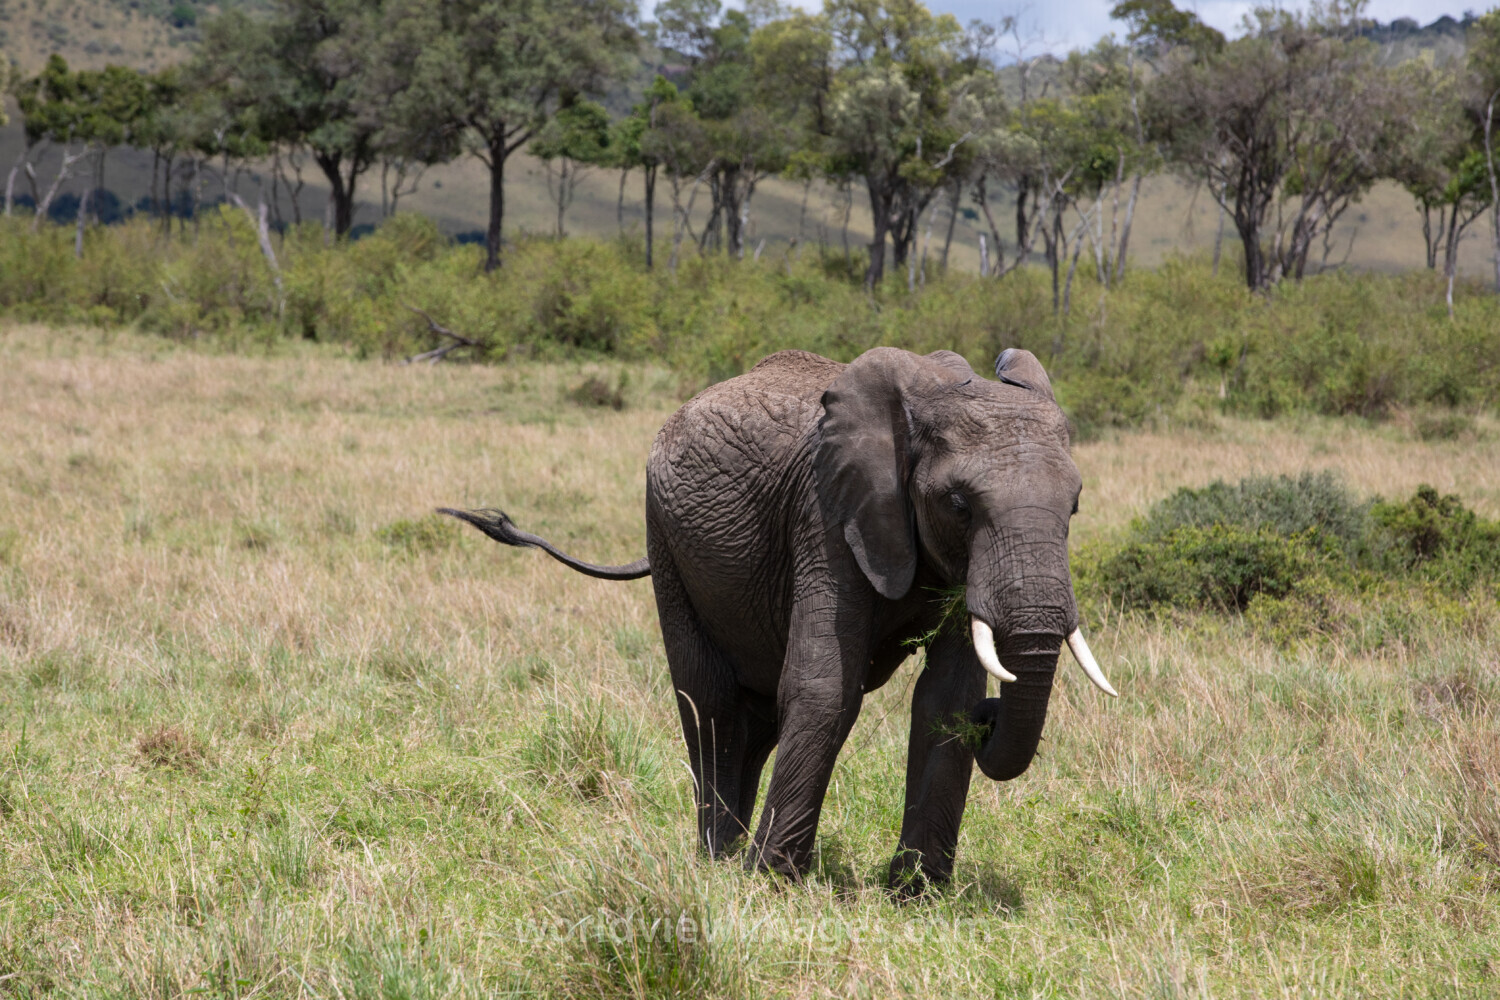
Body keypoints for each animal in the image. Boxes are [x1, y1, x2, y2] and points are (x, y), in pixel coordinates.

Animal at [441, 345, 1116, 891]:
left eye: (1075, 505)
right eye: (958, 503)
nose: (992, 715)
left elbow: (943, 699)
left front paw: (917, 894)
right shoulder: (826, 515)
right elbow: (825, 687)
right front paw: (772, 881)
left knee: (757, 717)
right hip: (666, 539)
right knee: (709, 701)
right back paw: (718, 859)